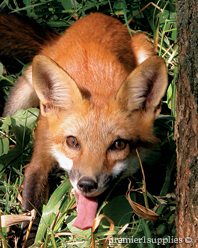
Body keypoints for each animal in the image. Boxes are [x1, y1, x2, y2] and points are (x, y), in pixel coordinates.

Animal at [0, 11, 168, 242]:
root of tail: (96, 16)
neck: (94, 85)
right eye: (72, 141)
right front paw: (28, 239)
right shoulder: (41, 152)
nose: (87, 184)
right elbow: (31, 212)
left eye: (118, 145)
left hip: (144, 47)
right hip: (19, 97)